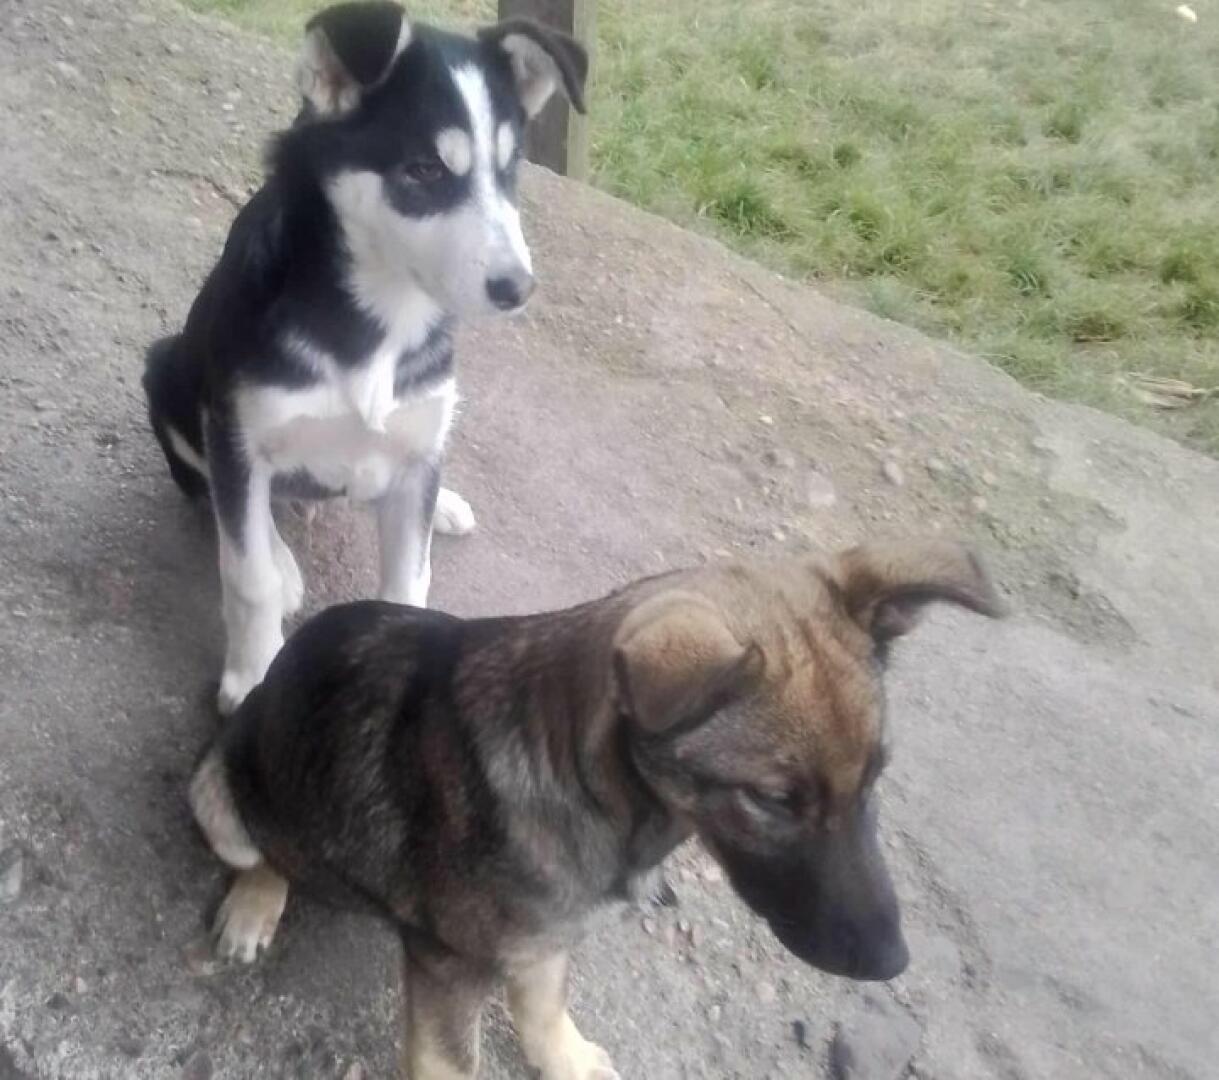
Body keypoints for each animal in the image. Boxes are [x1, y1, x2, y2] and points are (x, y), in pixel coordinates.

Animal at [143, 1, 588, 714]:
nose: (518, 289)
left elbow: (409, 578)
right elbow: (246, 573)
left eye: (509, 170)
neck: (384, 314)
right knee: (217, 497)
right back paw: (281, 557)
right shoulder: (237, 434)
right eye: (424, 171)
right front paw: (251, 678)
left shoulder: (415, 442)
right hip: (170, 378)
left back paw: (444, 500)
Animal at [189, 539, 1004, 1078]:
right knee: (268, 849)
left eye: (875, 777)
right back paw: (256, 902)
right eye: (772, 800)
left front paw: (567, 1059)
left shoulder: (545, 936)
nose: (891, 963)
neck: (586, 784)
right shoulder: (447, 971)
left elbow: (543, 1007)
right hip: (217, 791)